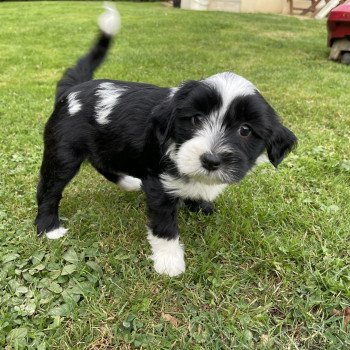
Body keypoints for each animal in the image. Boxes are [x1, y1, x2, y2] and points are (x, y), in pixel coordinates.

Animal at [35, 6, 296, 276]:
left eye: (245, 130)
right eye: (196, 118)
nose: (211, 160)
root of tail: (71, 91)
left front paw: (200, 205)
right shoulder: (159, 182)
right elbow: (164, 224)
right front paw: (170, 262)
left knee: (102, 163)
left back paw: (128, 182)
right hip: (63, 151)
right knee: (49, 186)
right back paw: (49, 227)